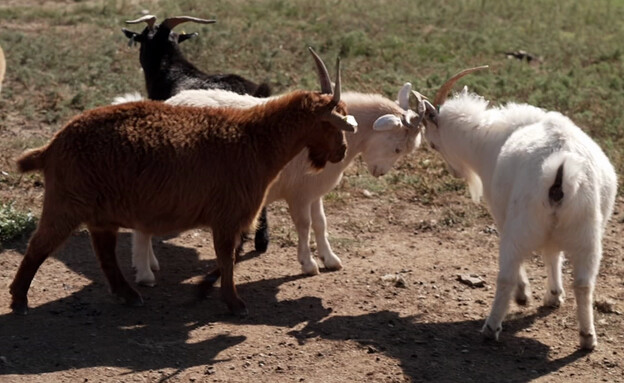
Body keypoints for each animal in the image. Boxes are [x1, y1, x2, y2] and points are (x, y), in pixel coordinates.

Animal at [9, 48, 356, 318]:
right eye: (331, 123)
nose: (341, 151)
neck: (252, 139)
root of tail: (52, 145)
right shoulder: (229, 213)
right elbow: (227, 257)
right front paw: (233, 302)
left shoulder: (232, 216)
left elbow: (228, 256)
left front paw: (204, 289)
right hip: (67, 201)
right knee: (40, 244)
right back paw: (19, 298)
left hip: (98, 210)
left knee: (103, 249)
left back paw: (128, 294)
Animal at [132, 85, 422, 286]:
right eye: (398, 148)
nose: (379, 173)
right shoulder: (299, 195)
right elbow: (304, 226)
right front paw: (308, 264)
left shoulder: (314, 192)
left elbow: (321, 224)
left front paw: (330, 259)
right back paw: (145, 273)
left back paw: (150, 263)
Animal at [416, 67, 616, 350]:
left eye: (434, 143)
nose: (455, 173)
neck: (488, 140)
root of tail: (560, 169)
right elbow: (552, 255)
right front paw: (554, 296)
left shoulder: (501, 215)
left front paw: (524, 295)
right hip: (586, 231)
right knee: (584, 284)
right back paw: (588, 337)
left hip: (521, 226)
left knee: (506, 275)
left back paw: (491, 327)